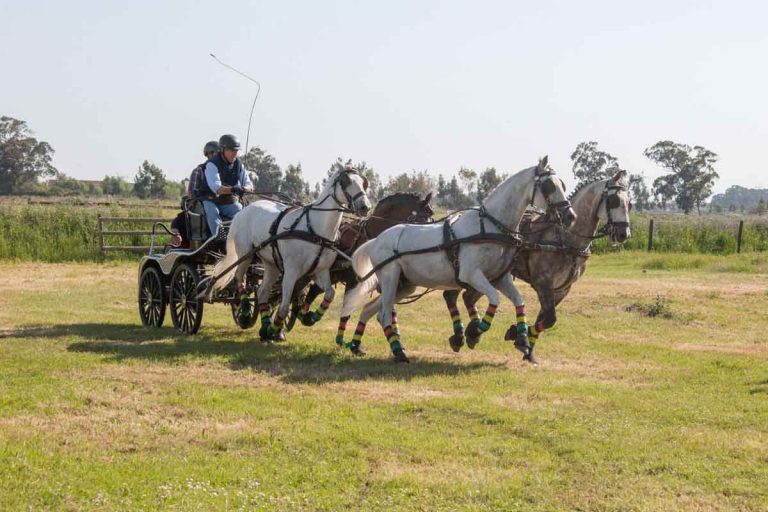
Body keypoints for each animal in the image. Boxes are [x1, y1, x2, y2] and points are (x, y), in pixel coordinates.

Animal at [206, 168, 370, 342]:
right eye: (346, 182)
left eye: (363, 182)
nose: (365, 207)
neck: (314, 230)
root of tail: (243, 211)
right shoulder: (291, 272)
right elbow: (284, 307)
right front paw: (275, 329)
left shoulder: (321, 271)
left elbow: (329, 294)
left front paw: (309, 317)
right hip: (245, 254)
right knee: (239, 279)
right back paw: (245, 314)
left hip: (270, 263)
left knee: (262, 292)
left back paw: (264, 327)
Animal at [292, 192, 432, 352]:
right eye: (423, 220)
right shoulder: (353, 281)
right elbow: (347, 311)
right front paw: (347, 342)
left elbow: (390, 310)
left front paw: (396, 342)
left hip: (332, 275)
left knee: (313, 290)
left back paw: (305, 316)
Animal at [342, 158, 576, 362]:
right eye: (549, 186)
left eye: (562, 184)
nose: (570, 216)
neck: (490, 227)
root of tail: (377, 239)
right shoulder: (472, 275)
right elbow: (494, 299)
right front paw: (475, 332)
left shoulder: (500, 278)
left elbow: (519, 301)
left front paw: (521, 339)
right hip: (390, 278)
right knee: (383, 314)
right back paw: (399, 353)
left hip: (405, 285)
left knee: (371, 309)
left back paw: (357, 346)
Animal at [440, 172, 632, 364]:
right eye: (614, 200)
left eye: (629, 203)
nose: (623, 234)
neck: (565, 238)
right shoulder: (543, 282)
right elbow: (550, 318)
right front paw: (515, 334)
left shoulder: (561, 289)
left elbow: (545, 319)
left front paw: (528, 351)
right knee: (453, 295)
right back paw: (462, 335)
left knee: (466, 297)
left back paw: (470, 333)